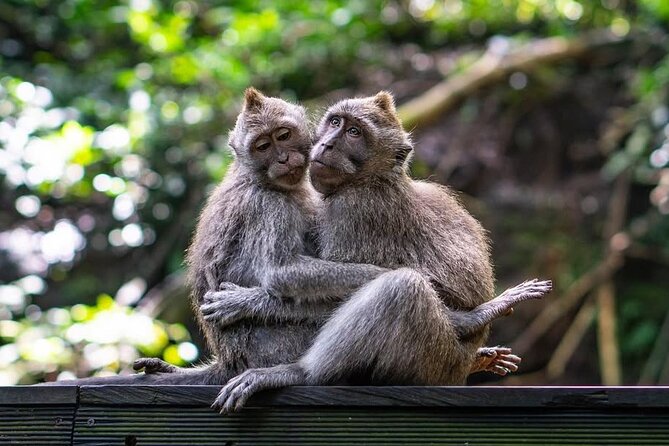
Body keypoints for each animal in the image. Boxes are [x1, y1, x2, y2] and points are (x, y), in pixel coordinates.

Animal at [212, 91, 552, 412]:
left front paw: (243, 302)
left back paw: (301, 373)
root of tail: (458, 368)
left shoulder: (352, 211)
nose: (327, 144)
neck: (375, 178)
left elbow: (300, 283)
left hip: (433, 361)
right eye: (335, 122)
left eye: (354, 133)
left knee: (401, 288)